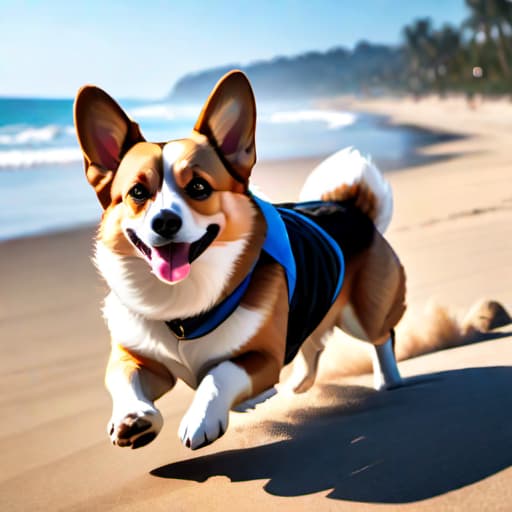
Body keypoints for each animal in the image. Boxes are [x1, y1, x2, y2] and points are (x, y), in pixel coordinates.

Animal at [74, 71, 406, 448]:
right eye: (138, 193)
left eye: (199, 187)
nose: (165, 222)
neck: (184, 313)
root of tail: (351, 207)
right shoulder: (137, 356)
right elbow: (123, 378)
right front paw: (133, 418)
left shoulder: (261, 357)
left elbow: (221, 372)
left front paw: (202, 418)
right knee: (312, 347)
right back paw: (296, 386)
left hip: (362, 313)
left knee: (382, 337)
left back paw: (388, 380)